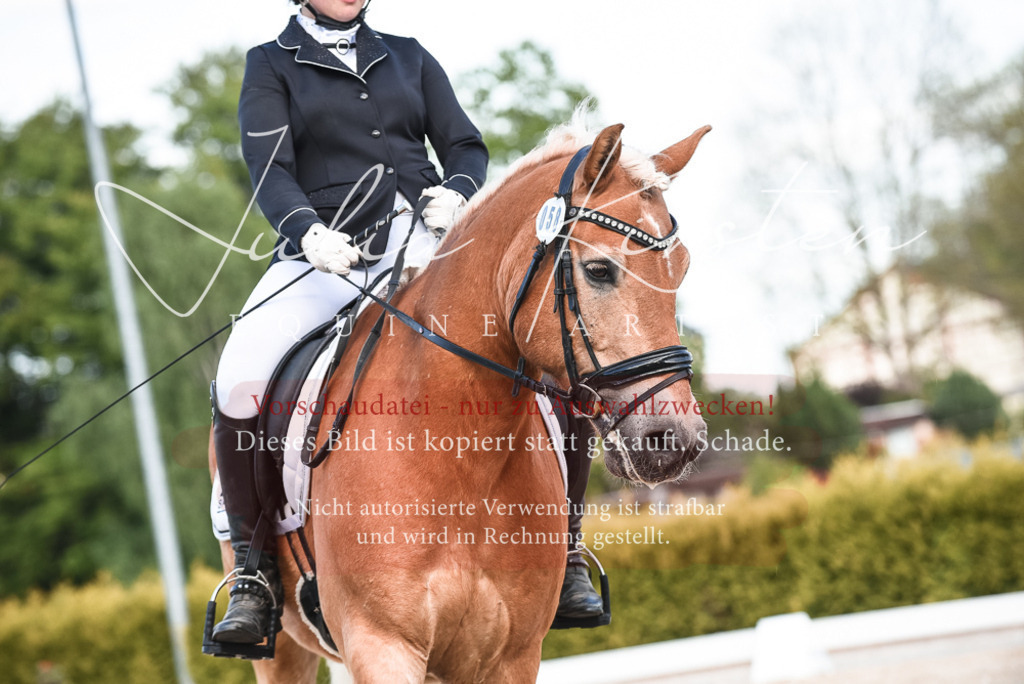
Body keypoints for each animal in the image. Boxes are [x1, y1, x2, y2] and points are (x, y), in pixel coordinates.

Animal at [210, 118, 711, 683]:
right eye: (600, 270)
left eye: (681, 270)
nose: (675, 440)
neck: (457, 454)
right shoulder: (380, 644)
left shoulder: (510, 656)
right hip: (284, 651)